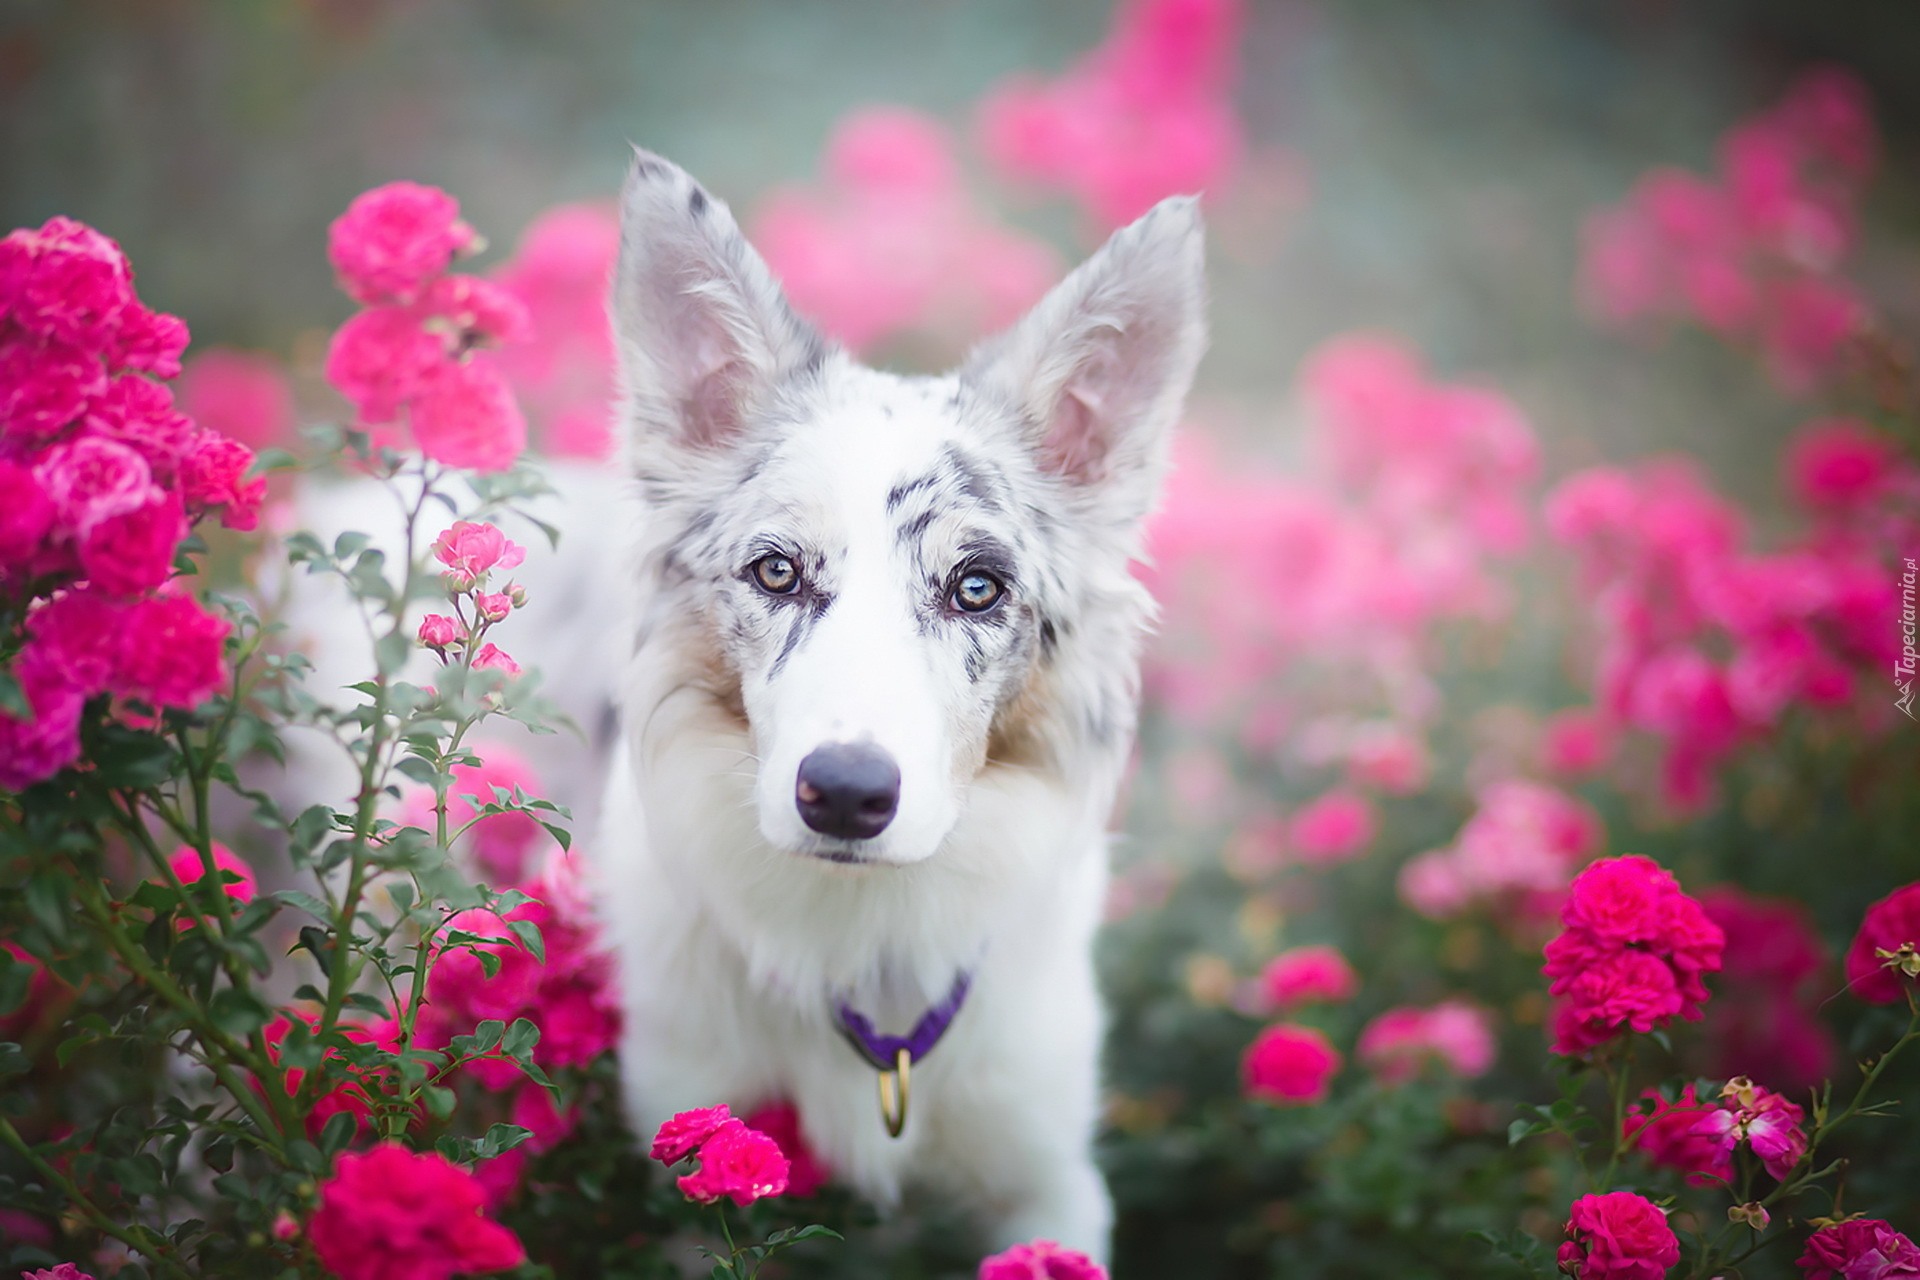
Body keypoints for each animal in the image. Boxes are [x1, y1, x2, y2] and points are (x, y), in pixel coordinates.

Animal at [591, 150, 1205, 1258]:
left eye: (977, 587)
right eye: (777, 570)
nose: (843, 793)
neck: (863, 933)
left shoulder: (1050, 1184)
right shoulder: (683, 1173)